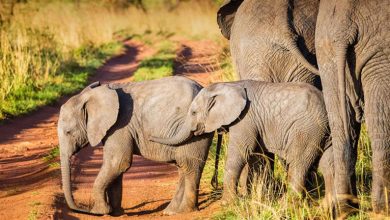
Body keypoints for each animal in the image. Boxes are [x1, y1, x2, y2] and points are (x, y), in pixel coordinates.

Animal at [58, 76, 215, 216]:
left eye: (68, 132)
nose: (83, 210)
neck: (94, 95)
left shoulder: (120, 125)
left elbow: (118, 162)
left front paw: (100, 212)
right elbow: (116, 167)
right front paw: (116, 213)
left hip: (195, 130)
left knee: (189, 166)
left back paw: (184, 211)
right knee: (184, 167)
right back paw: (171, 211)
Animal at [151, 80, 334, 203]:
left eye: (194, 112)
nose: (150, 137)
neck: (230, 85)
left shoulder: (245, 118)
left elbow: (240, 152)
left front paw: (227, 203)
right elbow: (256, 155)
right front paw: (254, 196)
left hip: (307, 129)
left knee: (299, 163)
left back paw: (287, 203)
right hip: (324, 132)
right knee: (327, 163)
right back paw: (328, 206)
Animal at [316, 0, 390, 215]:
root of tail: (344, 29)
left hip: (326, 54)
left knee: (341, 128)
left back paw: (345, 208)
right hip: (380, 55)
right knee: (381, 127)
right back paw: (382, 210)